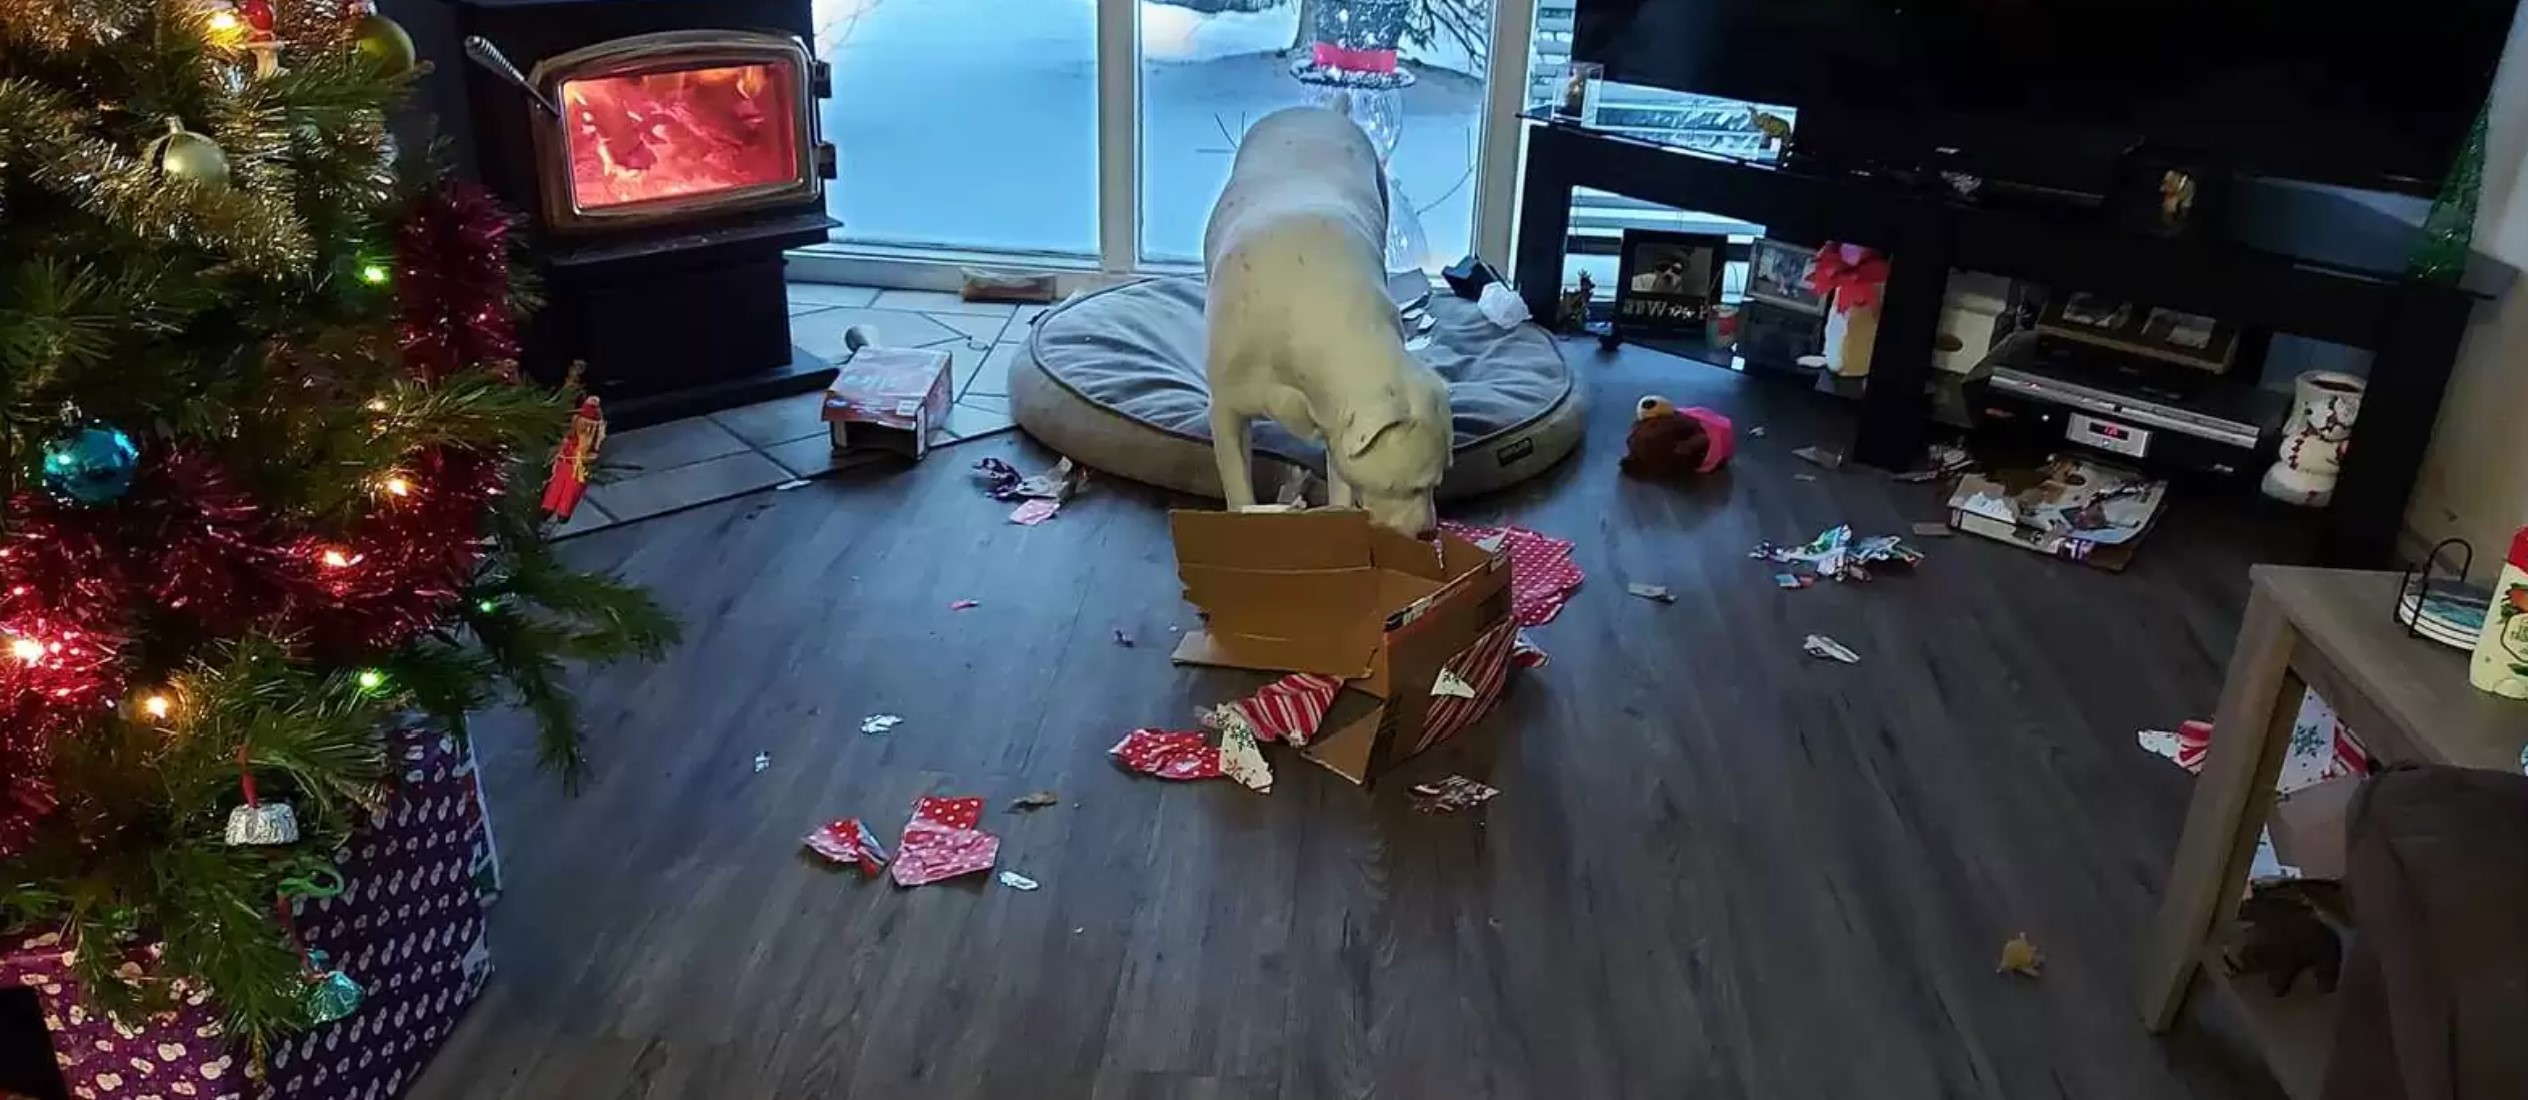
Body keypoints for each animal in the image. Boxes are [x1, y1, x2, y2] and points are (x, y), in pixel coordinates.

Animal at [1208, 101, 1456, 541]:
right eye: (1410, 486)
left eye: (1439, 482)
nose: (1430, 532)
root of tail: (1317, 109)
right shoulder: (1226, 412)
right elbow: (1238, 488)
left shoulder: (1335, 426)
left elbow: (1341, 483)